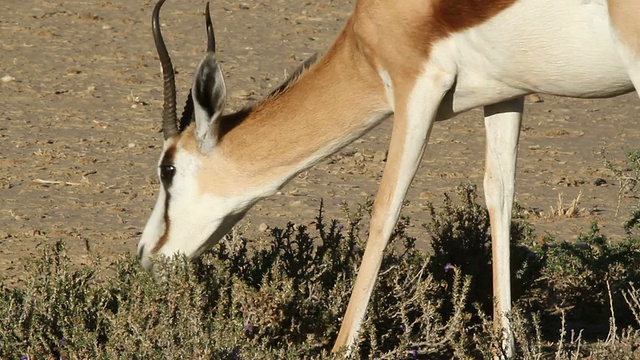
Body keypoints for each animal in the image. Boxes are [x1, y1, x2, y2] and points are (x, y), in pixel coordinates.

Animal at [140, 0, 640, 356]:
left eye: (168, 168)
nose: (146, 254)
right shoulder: (505, 93)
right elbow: (499, 195)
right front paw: (504, 348)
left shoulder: (415, 88)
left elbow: (385, 211)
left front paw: (340, 350)